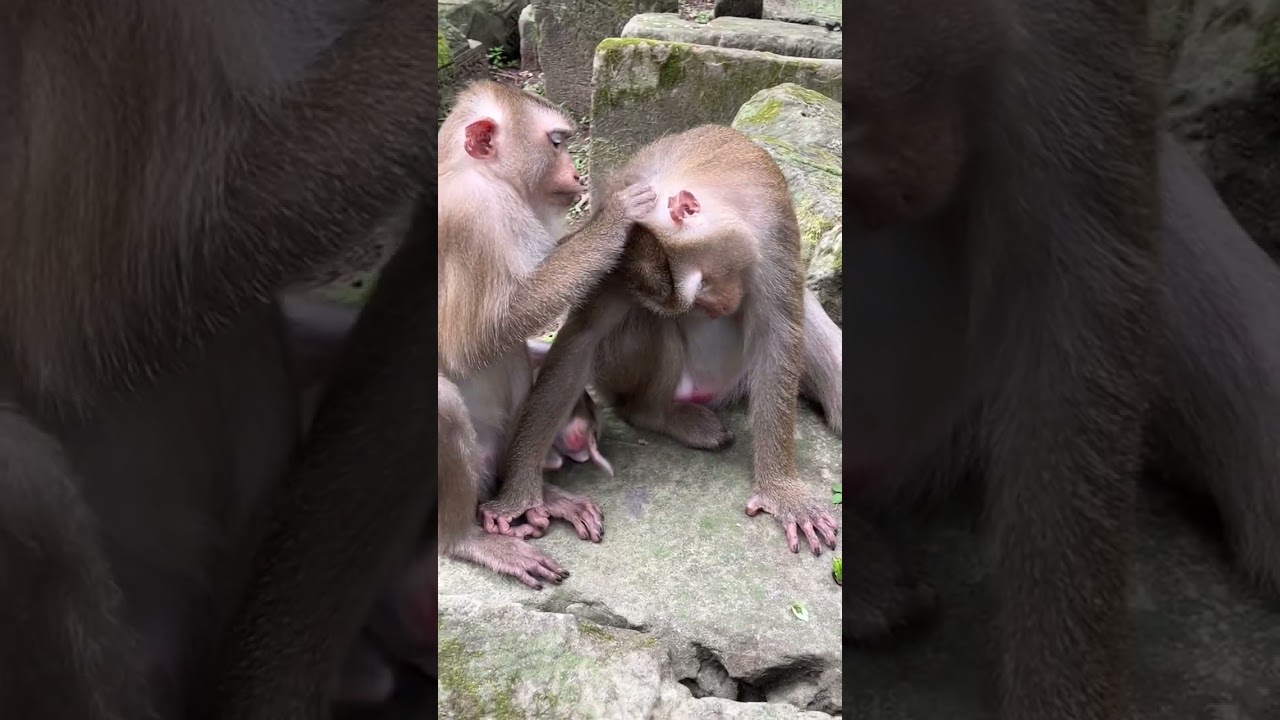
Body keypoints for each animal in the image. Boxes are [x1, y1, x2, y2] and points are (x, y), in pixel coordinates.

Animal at [433, 80, 658, 587]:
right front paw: (615, 219)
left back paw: (538, 494)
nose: (576, 173)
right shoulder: (474, 214)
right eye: (556, 143)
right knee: (445, 404)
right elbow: (477, 337)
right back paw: (466, 540)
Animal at [484, 125, 842, 556]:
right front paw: (520, 494)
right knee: (646, 329)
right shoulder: (614, 259)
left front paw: (782, 491)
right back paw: (658, 414)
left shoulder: (774, 222)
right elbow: (583, 338)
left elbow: (779, 332)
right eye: (698, 290)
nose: (719, 307)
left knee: (806, 311)